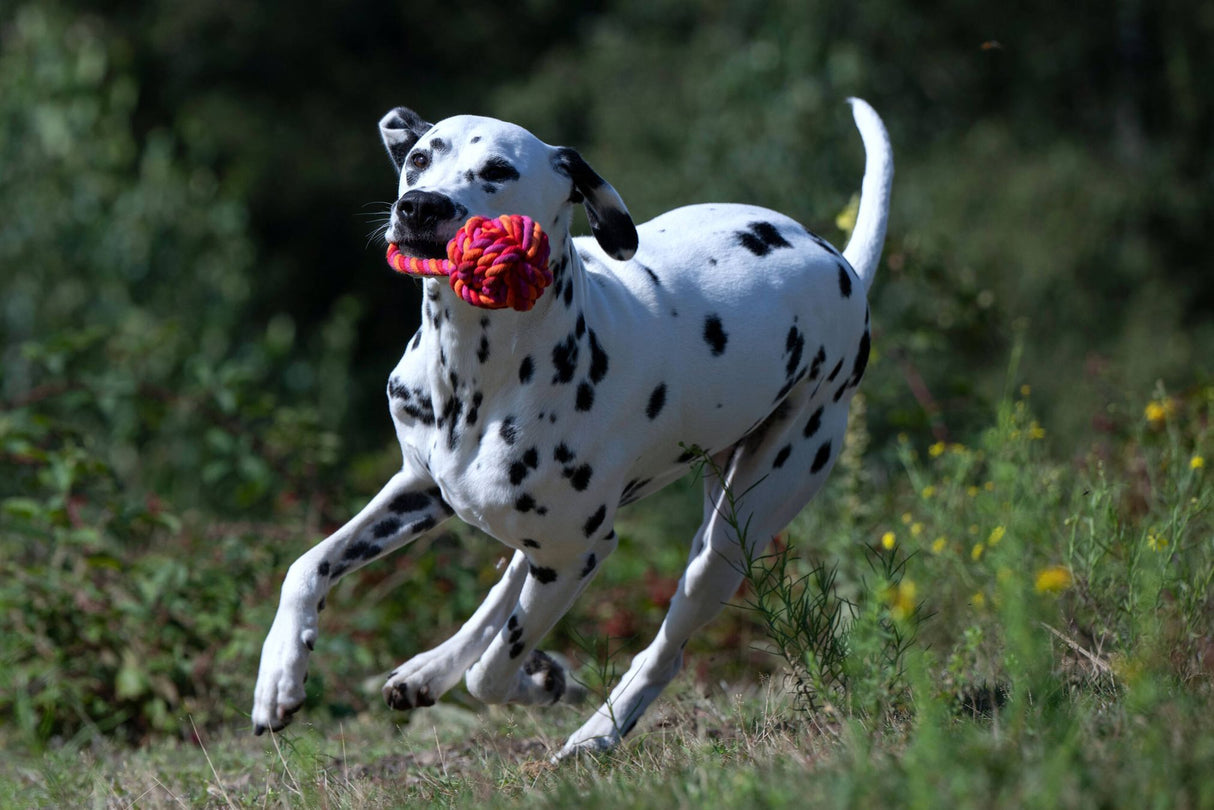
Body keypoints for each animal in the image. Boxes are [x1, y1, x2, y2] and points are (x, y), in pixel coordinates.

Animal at [251, 98, 893, 757]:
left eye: (498, 171)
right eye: (420, 158)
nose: (421, 206)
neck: (478, 372)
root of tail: (840, 264)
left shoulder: (577, 553)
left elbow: (491, 675)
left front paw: (541, 681)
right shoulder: (422, 492)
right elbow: (307, 567)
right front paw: (279, 677)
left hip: (727, 540)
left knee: (664, 649)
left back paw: (598, 731)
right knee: (507, 583)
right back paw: (431, 669)